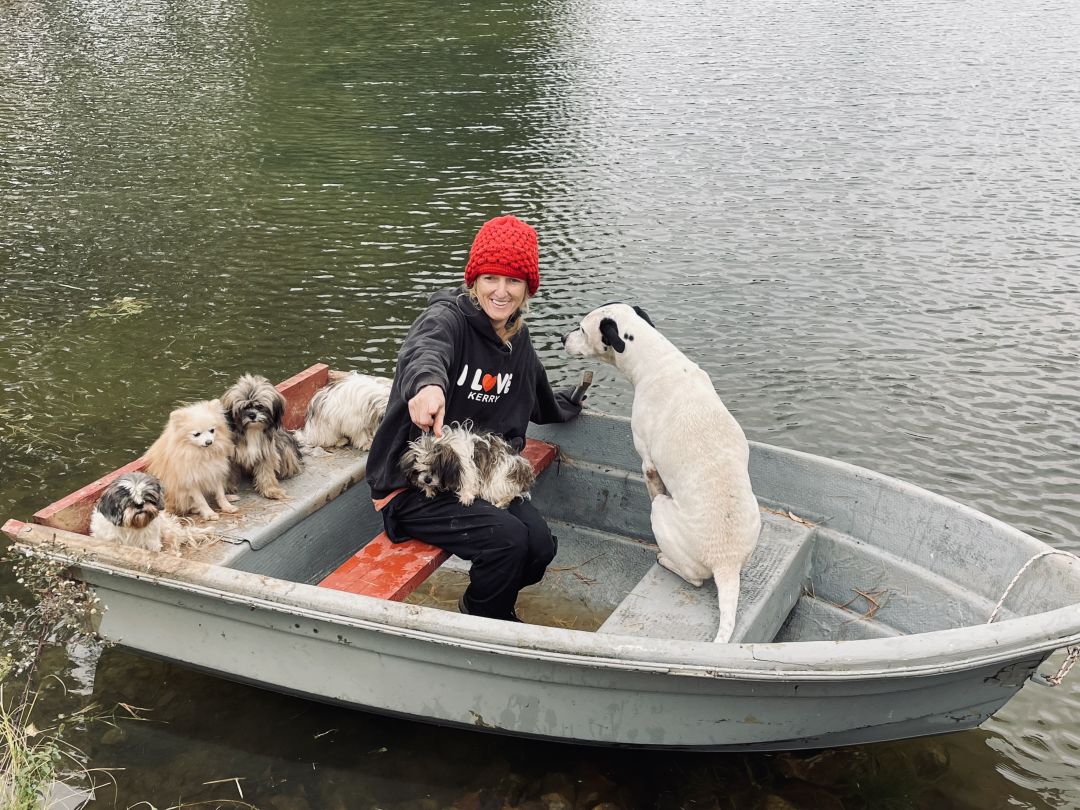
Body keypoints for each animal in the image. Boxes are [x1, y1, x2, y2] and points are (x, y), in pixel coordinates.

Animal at [91, 473, 220, 557]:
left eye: (147, 497)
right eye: (128, 502)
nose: (139, 505)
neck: (133, 527)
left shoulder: (152, 543)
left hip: (168, 530)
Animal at [401, 425, 535, 507]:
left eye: (435, 468)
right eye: (418, 469)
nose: (427, 479)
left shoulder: (469, 468)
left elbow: (468, 481)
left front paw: (466, 496)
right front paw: (428, 489)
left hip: (499, 481)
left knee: (510, 494)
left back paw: (499, 503)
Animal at [565, 304, 760, 648]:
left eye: (582, 329)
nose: (563, 338)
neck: (657, 361)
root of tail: (726, 561)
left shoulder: (648, 464)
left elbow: (653, 485)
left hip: (663, 514)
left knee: (694, 577)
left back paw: (666, 560)